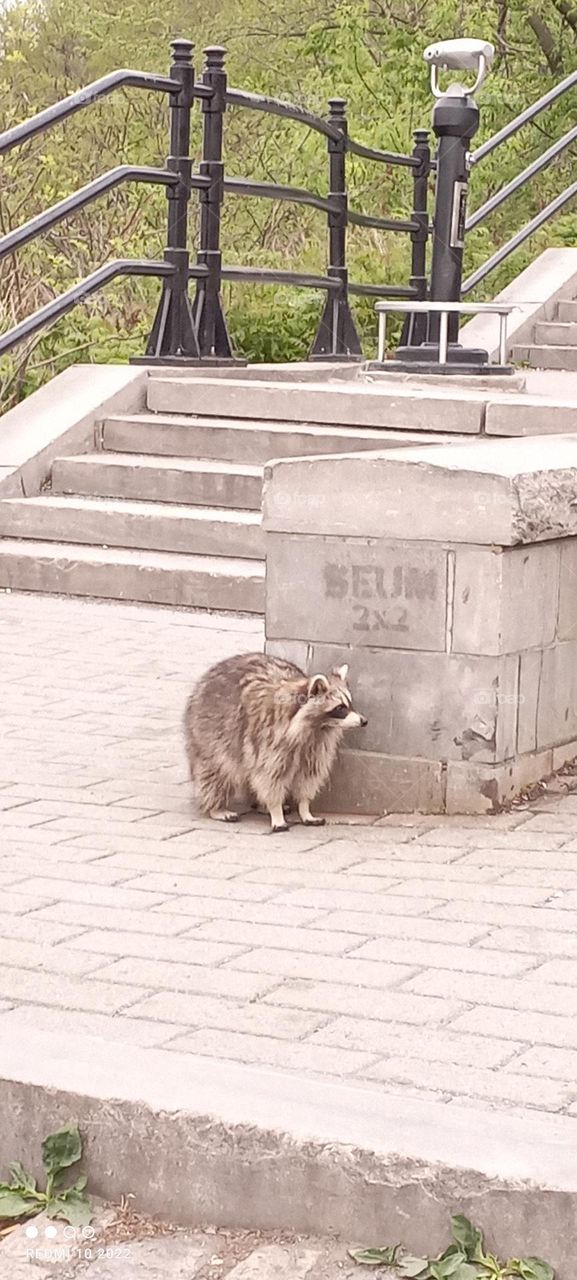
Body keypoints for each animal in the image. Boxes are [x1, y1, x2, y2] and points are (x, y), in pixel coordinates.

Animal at [183, 652, 367, 833]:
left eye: (350, 704)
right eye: (340, 708)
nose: (364, 721)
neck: (316, 727)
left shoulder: (316, 746)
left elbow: (309, 775)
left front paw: (304, 807)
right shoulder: (270, 739)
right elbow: (270, 776)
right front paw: (275, 810)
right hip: (210, 733)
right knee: (216, 771)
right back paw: (216, 807)